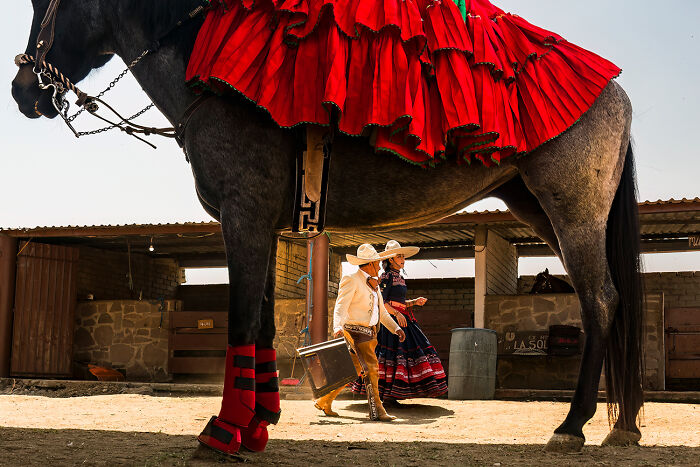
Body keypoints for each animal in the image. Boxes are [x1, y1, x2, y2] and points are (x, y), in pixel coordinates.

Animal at [11, 0, 644, 453]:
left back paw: (574, 425)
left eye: (45, 1)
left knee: (600, 300)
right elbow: (264, 322)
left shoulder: (242, 216)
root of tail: (614, 92)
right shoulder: (265, 226)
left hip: (571, 210)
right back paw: (624, 425)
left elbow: (242, 320)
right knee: (613, 301)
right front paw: (260, 420)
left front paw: (225, 431)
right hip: (537, 204)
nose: (22, 91)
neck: (203, 57)